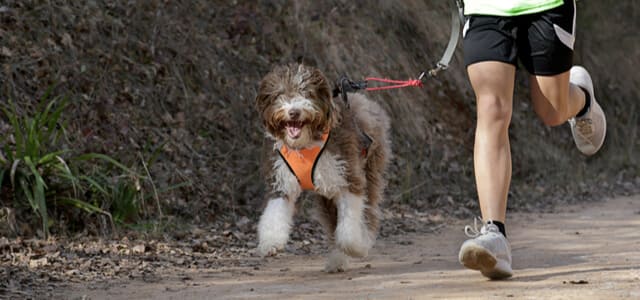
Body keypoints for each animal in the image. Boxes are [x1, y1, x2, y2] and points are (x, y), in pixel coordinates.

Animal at [254, 63, 390, 272]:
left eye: (307, 92)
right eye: (280, 94)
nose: (294, 112)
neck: (305, 144)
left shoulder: (348, 176)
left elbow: (348, 227)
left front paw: (356, 246)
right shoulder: (280, 179)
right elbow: (274, 211)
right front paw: (271, 242)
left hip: (371, 166)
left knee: (368, 211)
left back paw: (361, 242)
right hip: (325, 195)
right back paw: (337, 261)